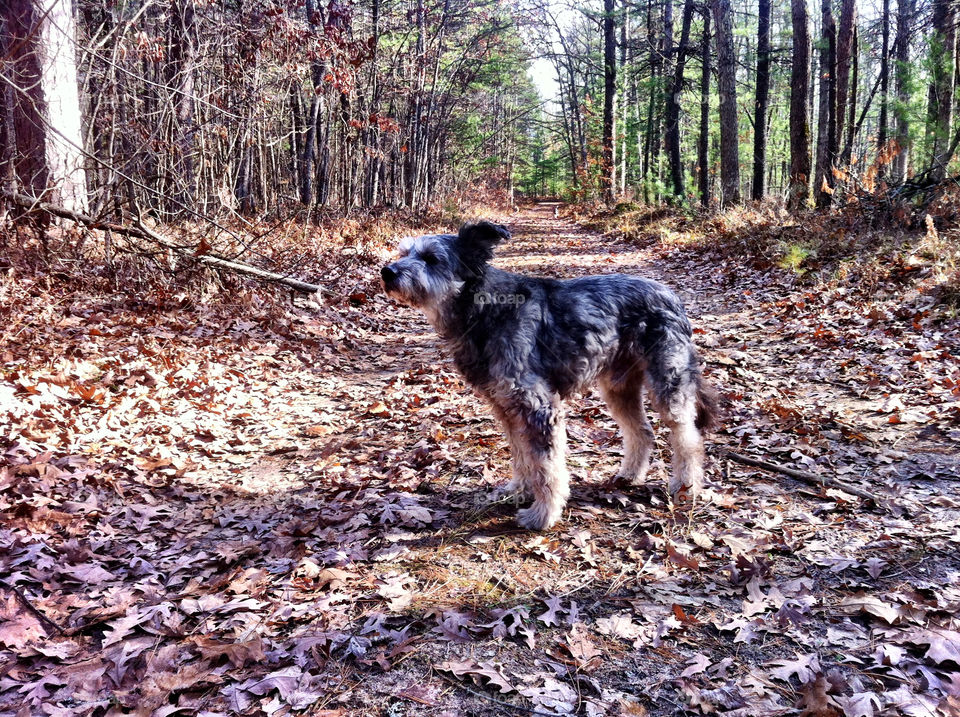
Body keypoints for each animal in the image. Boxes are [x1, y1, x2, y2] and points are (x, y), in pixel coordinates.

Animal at [378, 221, 716, 528]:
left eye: (432, 258)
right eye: (404, 252)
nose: (387, 272)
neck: (484, 309)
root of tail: (672, 296)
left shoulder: (538, 407)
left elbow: (547, 467)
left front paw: (543, 514)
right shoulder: (507, 408)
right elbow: (522, 457)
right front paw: (518, 490)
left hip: (668, 383)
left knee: (688, 437)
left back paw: (686, 487)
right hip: (618, 387)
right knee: (642, 431)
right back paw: (629, 475)